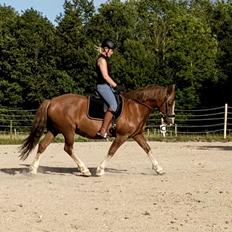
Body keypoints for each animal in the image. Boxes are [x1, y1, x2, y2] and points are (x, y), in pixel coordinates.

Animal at [20, 84, 175, 177]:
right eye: (170, 102)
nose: (171, 121)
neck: (135, 107)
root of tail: (52, 101)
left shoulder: (136, 134)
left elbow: (147, 148)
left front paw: (159, 168)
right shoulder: (122, 136)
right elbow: (112, 151)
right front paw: (100, 170)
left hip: (55, 130)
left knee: (42, 145)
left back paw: (33, 169)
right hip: (68, 130)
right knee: (68, 148)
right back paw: (84, 170)